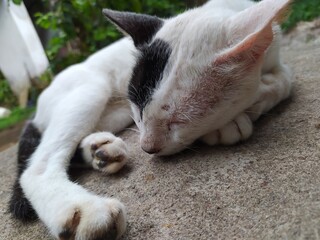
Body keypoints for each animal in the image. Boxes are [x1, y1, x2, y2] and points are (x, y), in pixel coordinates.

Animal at [8, 0, 292, 239]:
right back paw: (82, 209)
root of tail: (35, 110)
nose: (147, 147)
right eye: (139, 111)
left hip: (114, 113)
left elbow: (284, 82)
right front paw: (230, 123)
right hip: (91, 88)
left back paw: (100, 150)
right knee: (37, 166)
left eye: (179, 120)